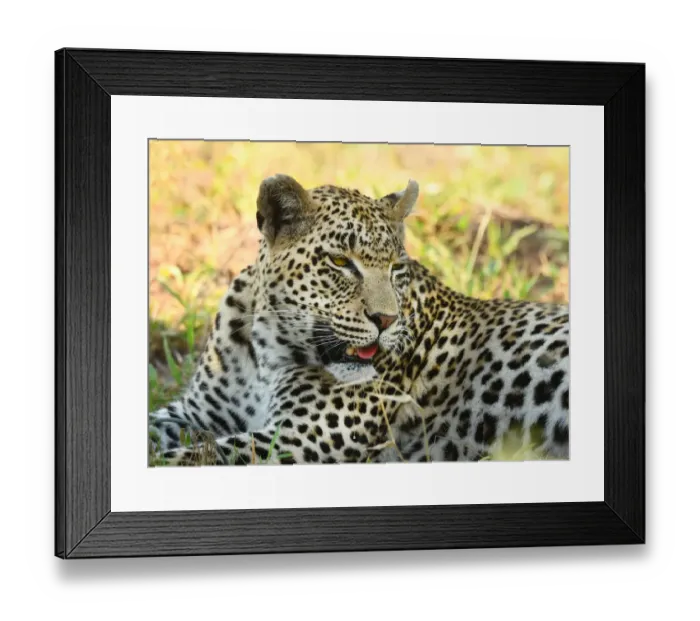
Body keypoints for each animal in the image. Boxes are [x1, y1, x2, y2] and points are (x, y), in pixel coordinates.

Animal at [149, 174, 570, 466]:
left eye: (396, 267)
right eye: (340, 262)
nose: (385, 320)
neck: (266, 348)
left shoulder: (299, 438)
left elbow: (189, 458)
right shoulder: (194, 413)